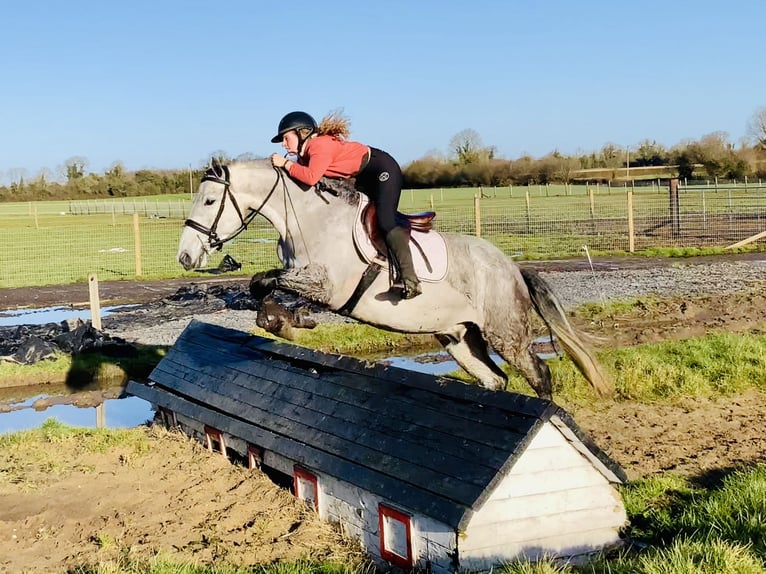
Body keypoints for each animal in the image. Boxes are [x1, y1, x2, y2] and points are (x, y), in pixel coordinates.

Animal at [177, 159, 612, 400]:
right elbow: (265, 284)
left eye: (210, 201)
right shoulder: (307, 281)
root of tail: (511, 268)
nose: (184, 256)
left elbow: (265, 281)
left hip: (505, 332)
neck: (309, 218)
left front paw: (286, 322)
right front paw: (283, 321)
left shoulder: (325, 286)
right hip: (459, 338)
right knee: (496, 380)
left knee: (539, 373)